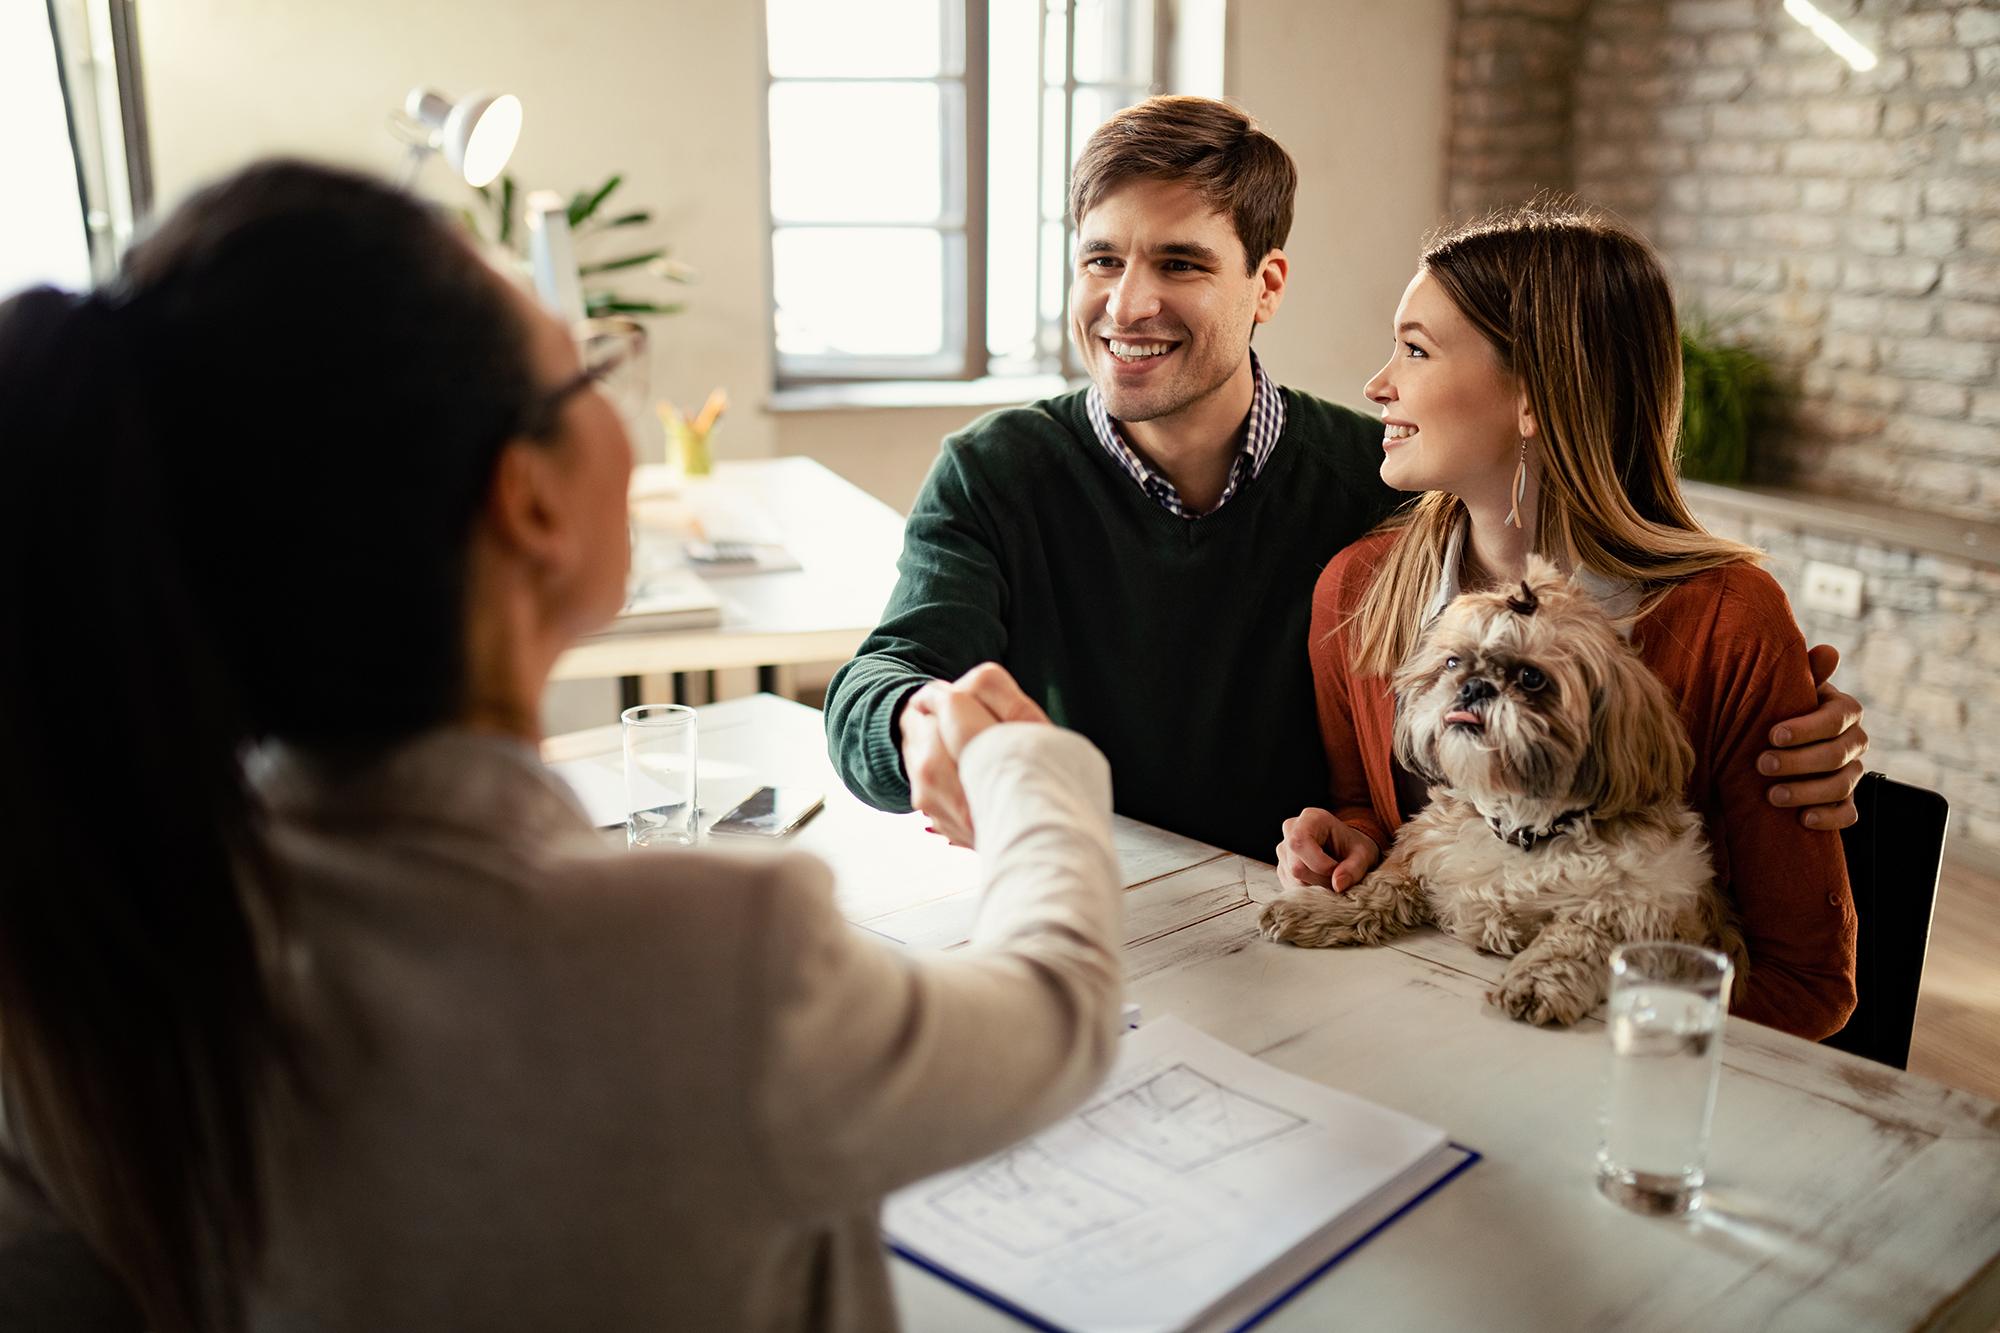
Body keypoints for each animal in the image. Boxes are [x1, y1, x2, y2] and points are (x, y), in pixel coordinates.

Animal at [1264, 556, 1752, 1020]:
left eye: (1532, 678)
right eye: (1453, 663)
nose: (1473, 686)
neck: (1524, 826)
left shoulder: (1624, 908)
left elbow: (1573, 942)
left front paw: (1536, 982)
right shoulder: (1424, 851)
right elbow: (1380, 887)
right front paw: (1324, 908)